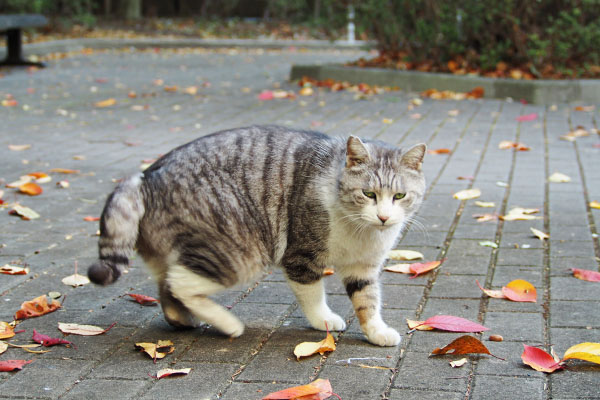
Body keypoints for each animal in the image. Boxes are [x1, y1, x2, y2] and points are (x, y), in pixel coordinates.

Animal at [88, 126, 426, 346]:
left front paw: (377, 332)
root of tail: (146, 175)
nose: (383, 217)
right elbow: (313, 296)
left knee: (168, 286)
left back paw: (185, 319)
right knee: (181, 283)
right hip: (237, 252)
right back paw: (229, 325)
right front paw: (324, 320)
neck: (362, 232)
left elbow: (368, 300)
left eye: (399, 196)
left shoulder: (364, 268)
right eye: (368, 194)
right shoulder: (302, 256)